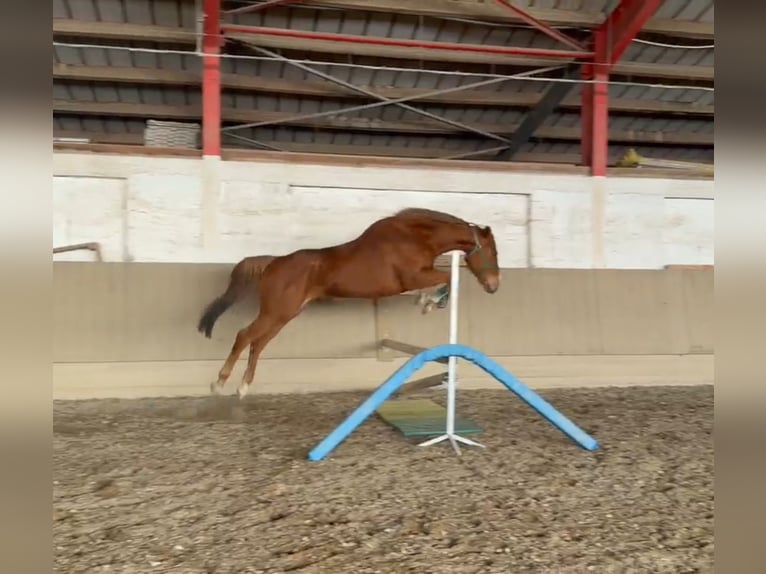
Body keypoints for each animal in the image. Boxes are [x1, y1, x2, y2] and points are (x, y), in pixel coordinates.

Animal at [197, 207, 501, 399]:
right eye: (492, 251)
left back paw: (243, 387)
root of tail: (274, 262)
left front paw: (427, 300)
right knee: (244, 336)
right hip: (276, 312)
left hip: (284, 315)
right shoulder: (412, 276)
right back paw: (219, 383)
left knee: (257, 344)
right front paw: (432, 301)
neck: (415, 237)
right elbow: (447, 277)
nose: (493, 286)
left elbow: (440, 280)